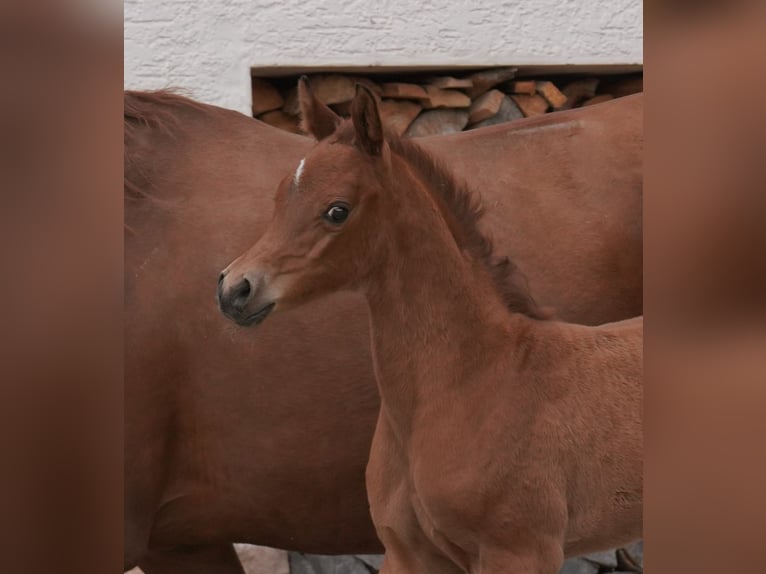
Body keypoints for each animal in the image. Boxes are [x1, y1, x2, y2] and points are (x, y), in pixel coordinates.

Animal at [124, 90, 640, 574]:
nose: (235, 288)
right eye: (280, 197)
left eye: (337, 210)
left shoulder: (519, 551)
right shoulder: (407, 548)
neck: (476, 375)